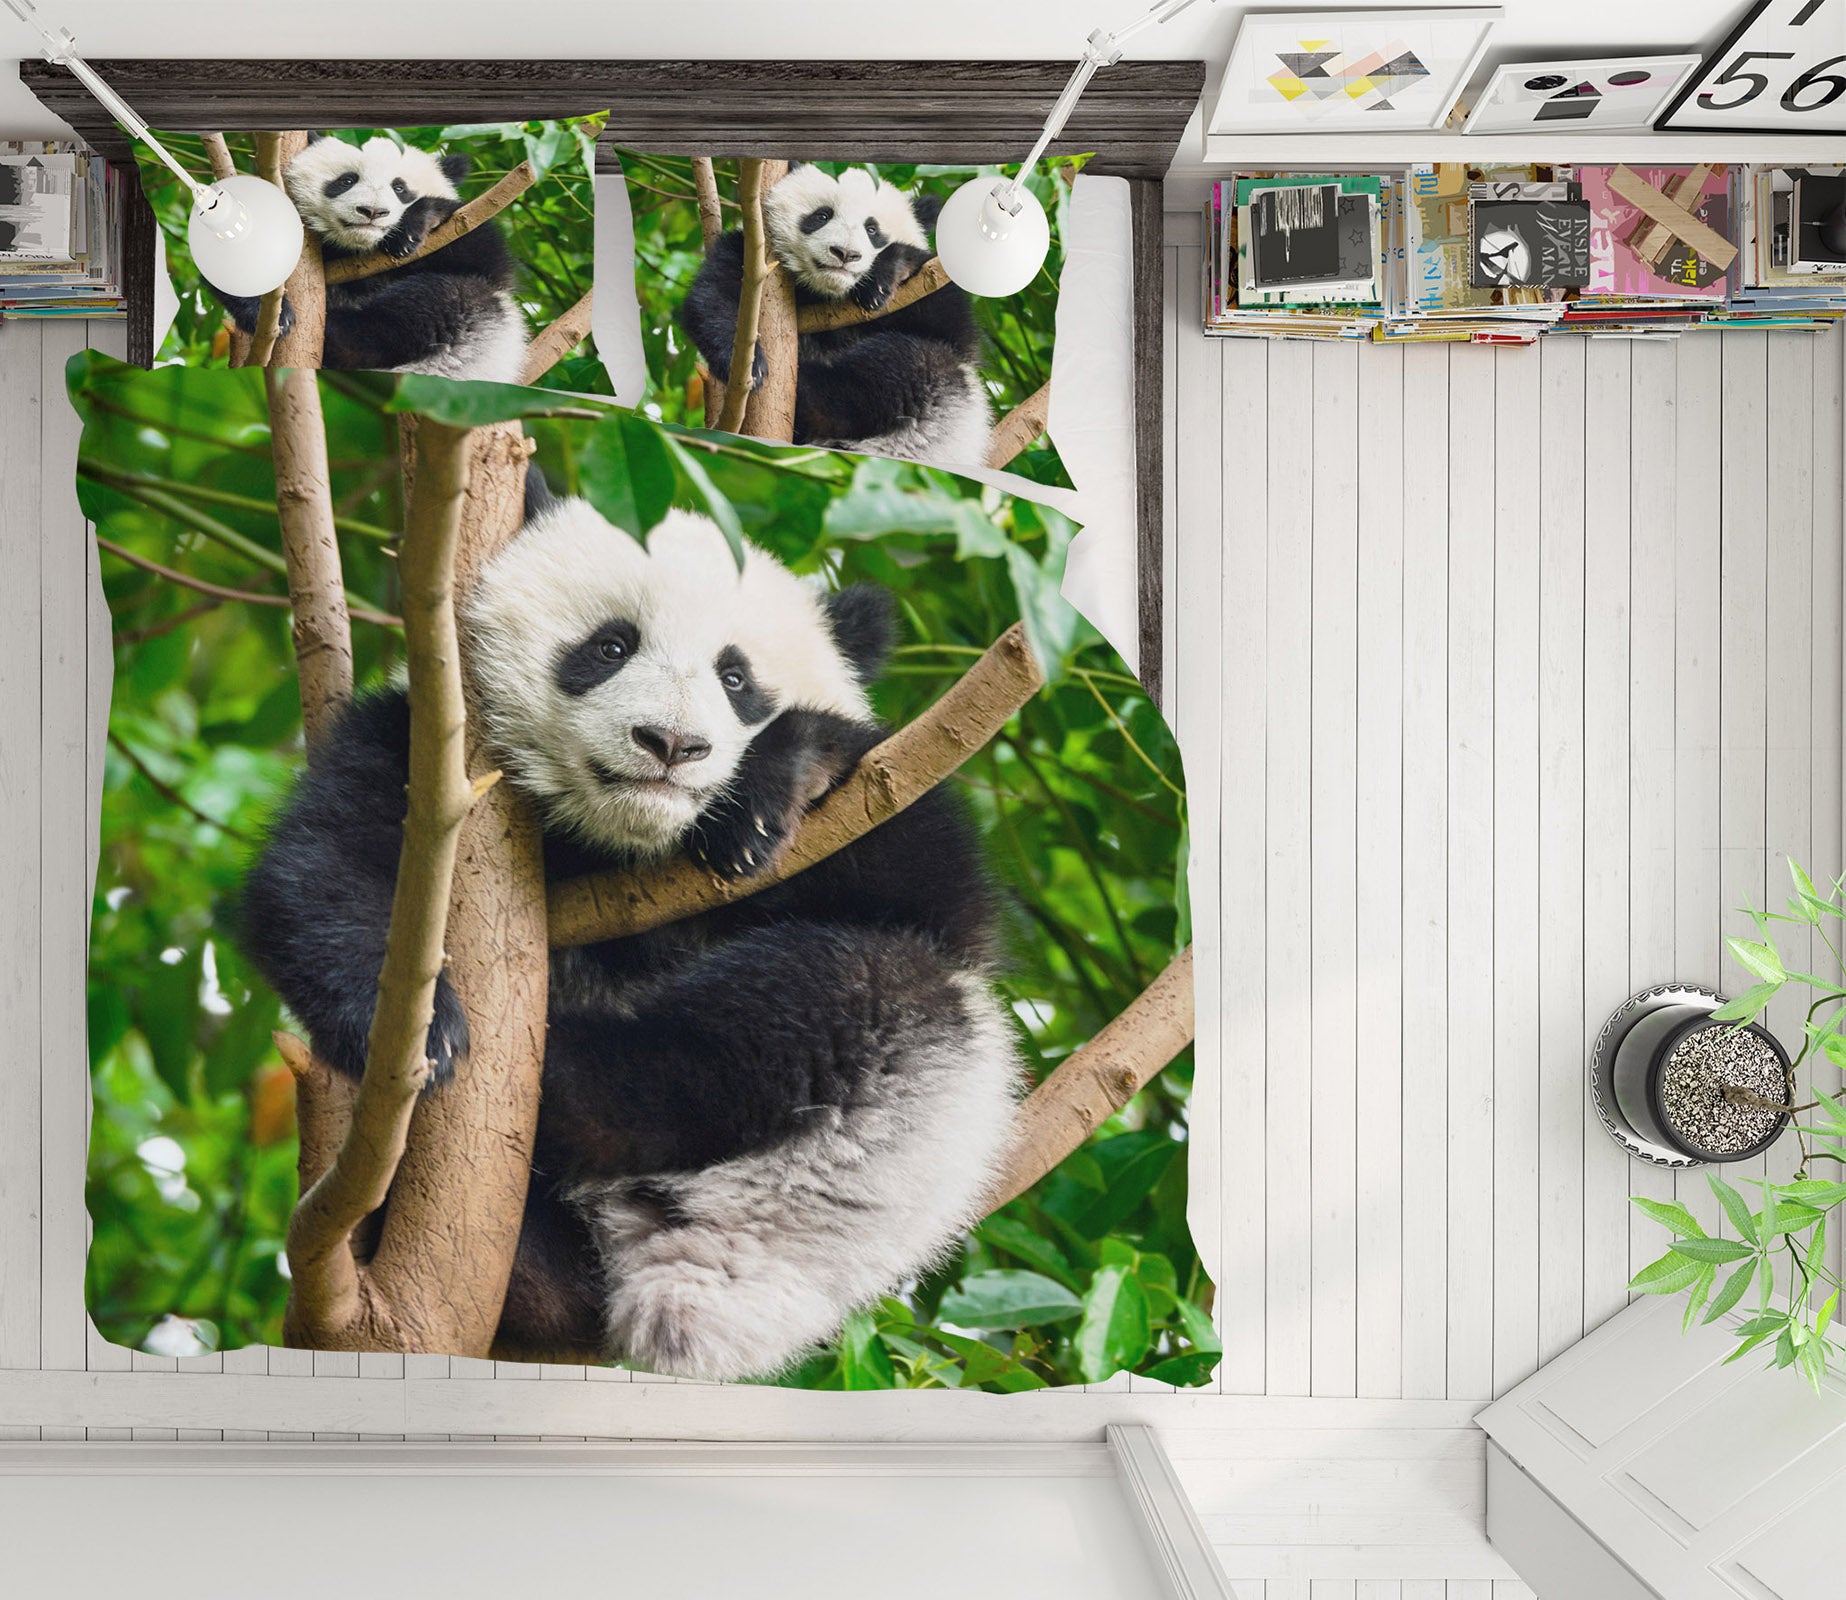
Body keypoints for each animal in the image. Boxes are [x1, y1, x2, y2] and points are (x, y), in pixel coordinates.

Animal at [209, 134, 528, 383]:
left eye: (400, 188)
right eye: (347, 180)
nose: (372, 212)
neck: (358, 248)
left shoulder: (477, 239)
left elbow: (483, 255)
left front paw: (416, 225)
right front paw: (274, 314)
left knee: (429, 306)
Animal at [236, 475, 1022, 1379]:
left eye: (736, 678)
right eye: (610, 646)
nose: (671, 744)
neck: (622, 842)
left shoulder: (902, 813)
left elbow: (934, 889)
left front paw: (776, 784)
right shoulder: (427, 753)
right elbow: (320, 870)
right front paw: (416, 1031)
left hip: (898, 1116)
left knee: (798, 1013)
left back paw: (566, 1071)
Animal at [680, 164, 992, 468]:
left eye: (872, 229)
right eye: (822, 215)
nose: (845, 253)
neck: (828, 292)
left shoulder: (935, 290)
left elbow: (944, 320)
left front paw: (883, 276)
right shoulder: (752, 257)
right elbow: (713, 296)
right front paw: (749, 365)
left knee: (898, 370)